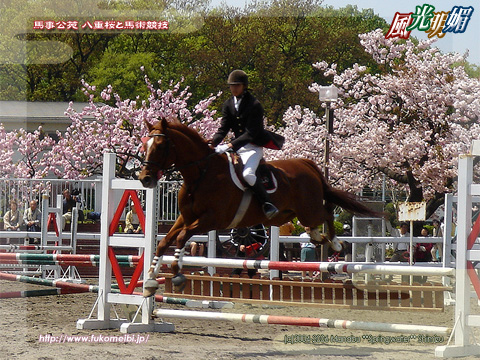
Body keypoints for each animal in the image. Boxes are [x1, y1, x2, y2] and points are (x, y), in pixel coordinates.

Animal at [140, 118, 382, 296]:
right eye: (144, 145)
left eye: (160, 146)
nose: (145, 179)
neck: (201, 174)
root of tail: (306, 164)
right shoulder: (186, 218)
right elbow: (164, 242)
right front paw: (150, 279)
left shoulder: (211, 220)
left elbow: (181, 238)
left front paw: (178, 276)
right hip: (295, 213)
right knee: (315, 223)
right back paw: (317, 236)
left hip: (309, 209)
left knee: (327, 213)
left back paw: (335, 242)